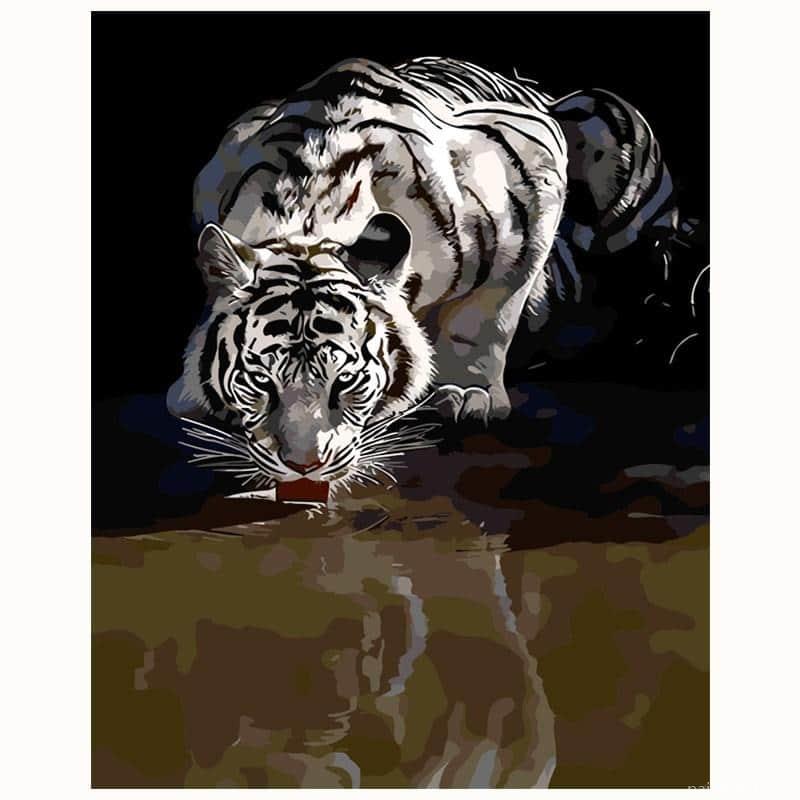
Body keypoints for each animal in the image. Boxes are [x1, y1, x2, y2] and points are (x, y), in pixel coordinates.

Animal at [168, 57, 678, 491]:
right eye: (260, 381)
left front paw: (468, 393)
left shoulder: (534, 171)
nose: (303, 466)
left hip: (602, 124)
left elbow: (486, 317)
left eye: (345, 381)